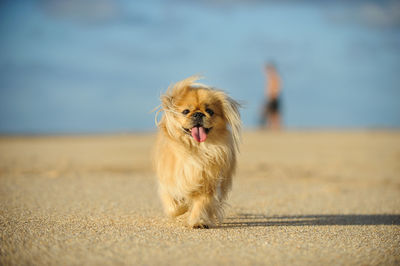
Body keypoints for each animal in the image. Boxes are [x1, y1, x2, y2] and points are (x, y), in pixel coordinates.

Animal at [153, 75, 241, 229]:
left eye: (210, 111)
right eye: (185, 111)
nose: (198, 114)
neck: (196, 150)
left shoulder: (208, 184)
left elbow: (201, 203)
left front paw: (198, 221)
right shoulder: (168, 183)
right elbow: (173, 206)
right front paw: (183, 206)